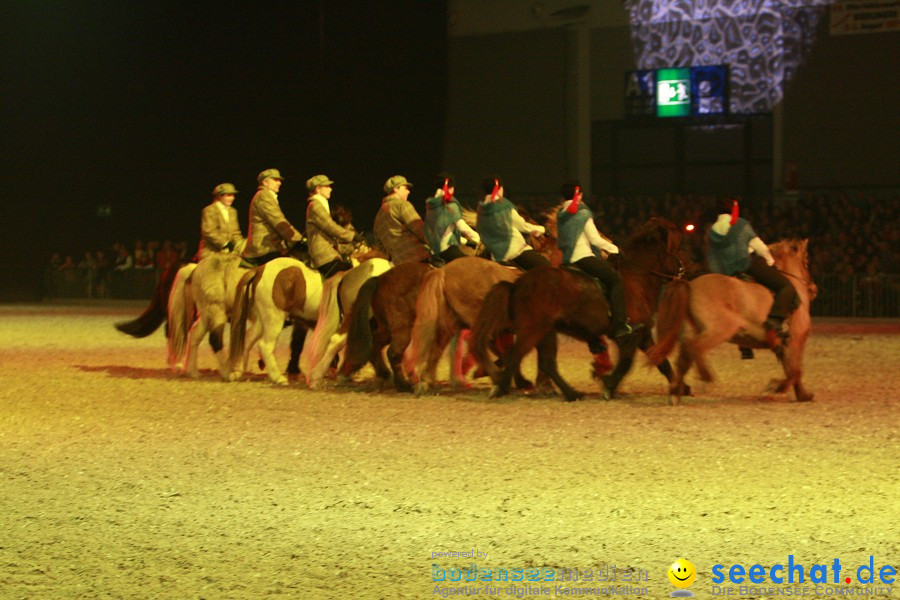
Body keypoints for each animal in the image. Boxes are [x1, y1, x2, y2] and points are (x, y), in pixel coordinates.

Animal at [468, 217, 684, 404]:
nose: (683, 270)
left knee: (545, 362)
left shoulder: (643, 333)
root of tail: (517, 283)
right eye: (673, 249)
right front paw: (608, 386)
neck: (635, 278)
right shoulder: (630, 335)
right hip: (533, 330)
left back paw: (571, 393)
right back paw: (502, 387)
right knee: (515, 355)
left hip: (546, 332)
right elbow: (626, 363)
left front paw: (678, 389)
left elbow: (661, 362)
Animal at [644, 238, 820, 404]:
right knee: (695, 348)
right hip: (721, 329)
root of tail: (689, 285)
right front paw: (777, 387)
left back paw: (676, 393)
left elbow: (792, 370)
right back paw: (706, 378)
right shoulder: (795, 341)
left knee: (684, 358)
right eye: (806, 262)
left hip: (690, 331)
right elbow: (795, 371)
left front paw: (803, 395)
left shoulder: (783, 345)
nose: (814, 288)